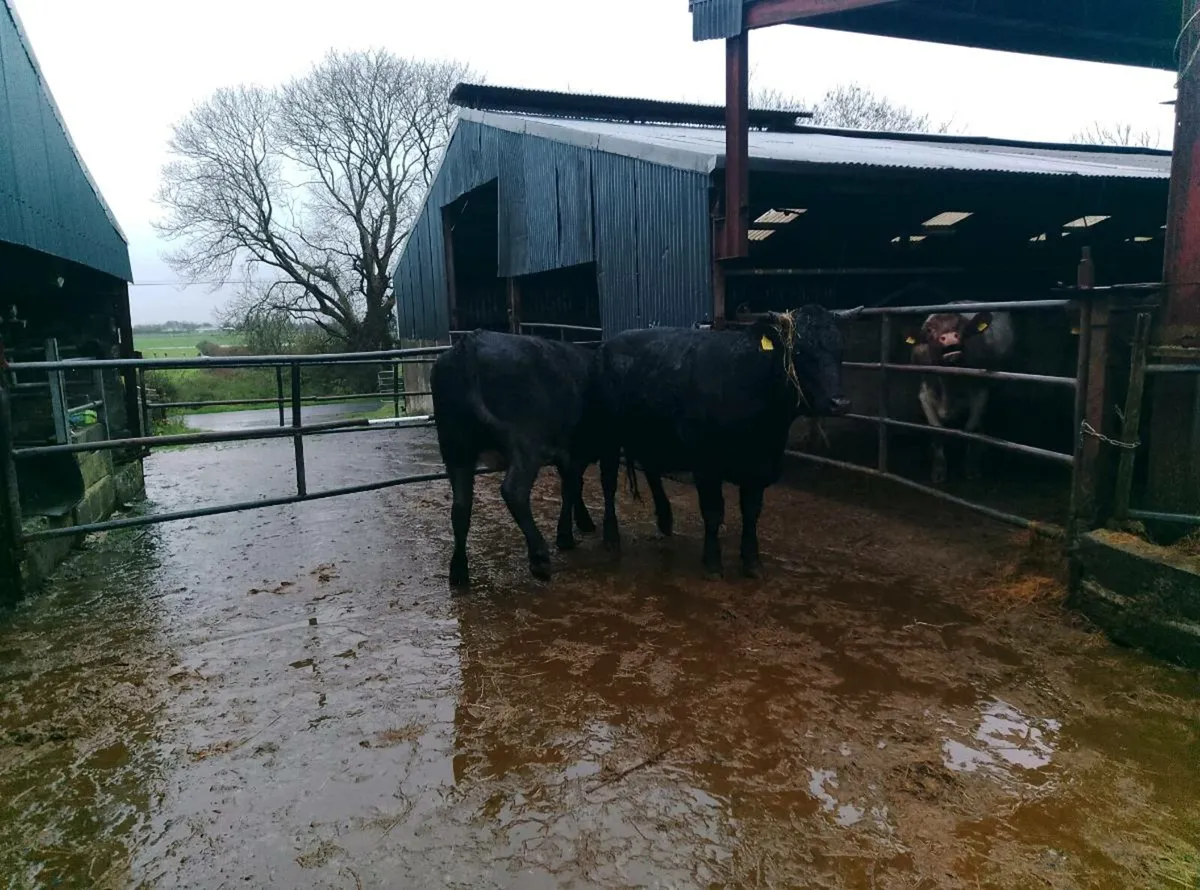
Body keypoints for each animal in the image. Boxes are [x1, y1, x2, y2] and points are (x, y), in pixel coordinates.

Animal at [430, 330, 597, 586]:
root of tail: (468, 342)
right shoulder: (572, 452)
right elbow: (571, 488)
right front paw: (567, 535)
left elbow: (573, 486)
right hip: (524, 445)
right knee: (514, 491)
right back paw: (539, 558)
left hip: (455, 449)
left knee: (460, 506)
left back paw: (458, 572)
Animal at [591, 305, 859, 579]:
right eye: (799, 352)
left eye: (840, 350)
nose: (840, 403)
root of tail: (609, 343)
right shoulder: (706, 466)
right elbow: (712, 512)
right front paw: (712, 562)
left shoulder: (759, 466)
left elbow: (751, 512)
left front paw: (752, 561)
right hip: (608, 436)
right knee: (609, 482)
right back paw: (611, 537)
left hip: (650, 435)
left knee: (652, 472)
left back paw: (665, 521)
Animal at [905, 302, 1015, 484]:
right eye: (929, 330)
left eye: (961, 326)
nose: (950, 337)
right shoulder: (925, 395)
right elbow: (937, 431)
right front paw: (938, 470)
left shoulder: (980, 393)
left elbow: (970, 429)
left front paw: (971, 467)